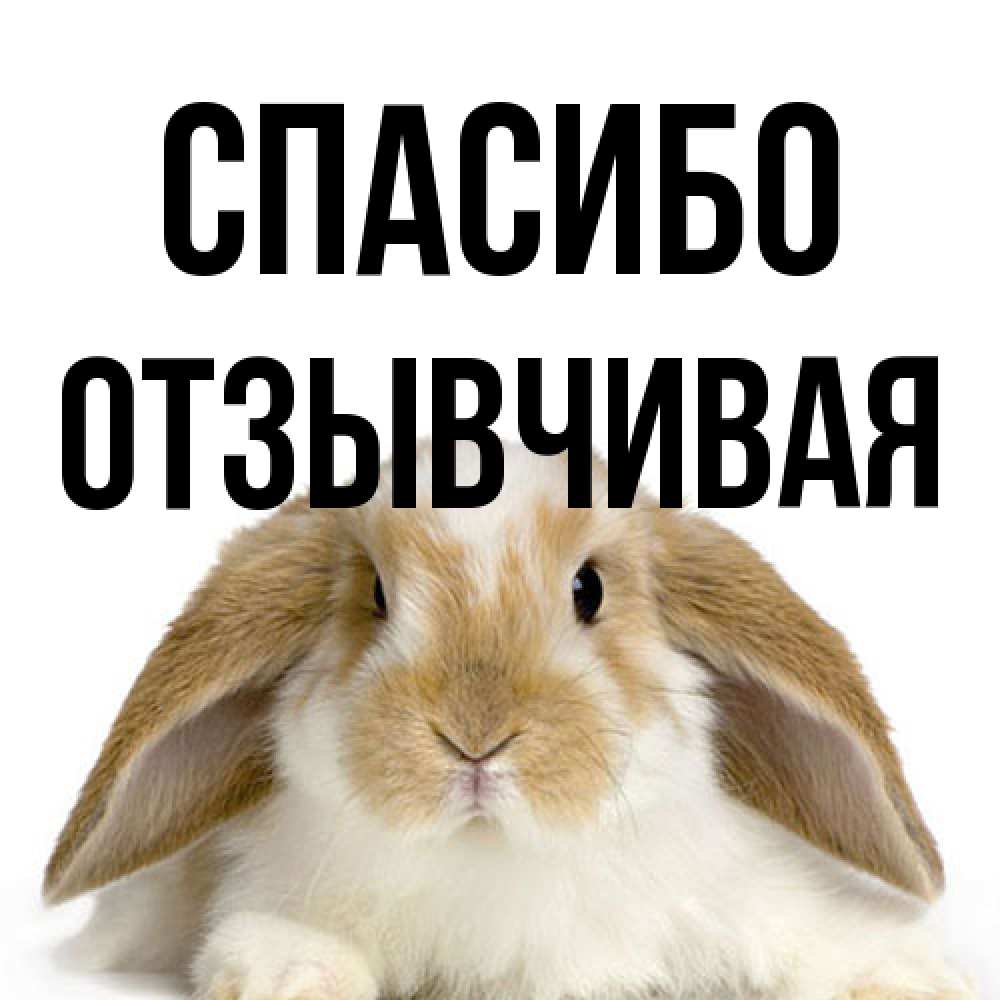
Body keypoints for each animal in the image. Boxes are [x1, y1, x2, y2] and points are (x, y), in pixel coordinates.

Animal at [45, 440, 975, 1000]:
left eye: (589, 589)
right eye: (376, 595)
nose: (475, 737)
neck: (495, 857)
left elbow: (815, 938)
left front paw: (909, 977)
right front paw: (289, 976)